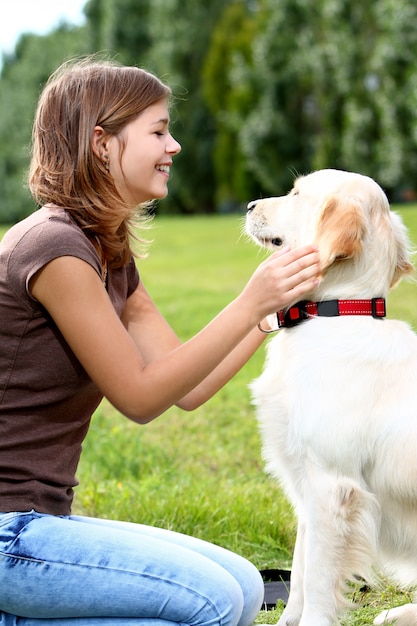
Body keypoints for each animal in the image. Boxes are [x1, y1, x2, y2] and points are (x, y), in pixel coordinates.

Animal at [245, 169, 416, 624]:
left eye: (297, 194)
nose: (248, 206)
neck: (338, 311)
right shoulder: (307, 487)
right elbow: (301, 571)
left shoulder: (331, 487)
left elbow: (319, 582)